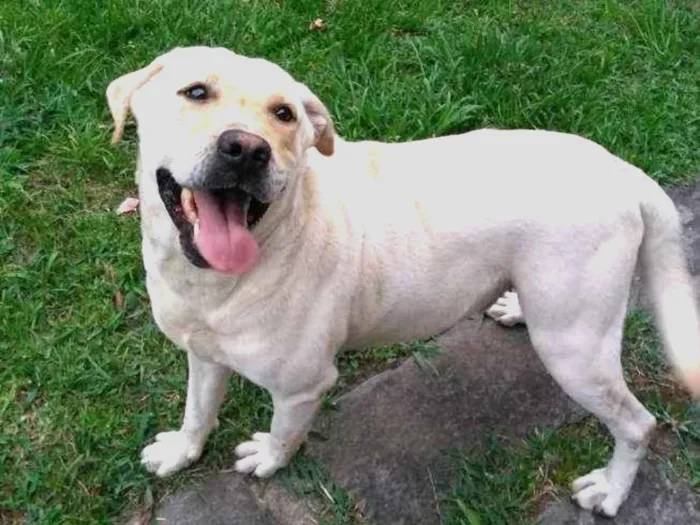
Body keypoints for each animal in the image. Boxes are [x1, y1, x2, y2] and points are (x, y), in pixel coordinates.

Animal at [105, 46, 700, 516]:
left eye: (284, 114)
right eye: (196, 92)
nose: (247, 149)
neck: (210, 283)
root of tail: (624, 171)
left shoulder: (303, 388)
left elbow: (283, 434)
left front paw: (269, 461)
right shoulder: (202, 354)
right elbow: (197, 410)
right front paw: (181, 452)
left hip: (575, 350)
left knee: (638, 424)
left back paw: (611, 491)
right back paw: (514, 307)